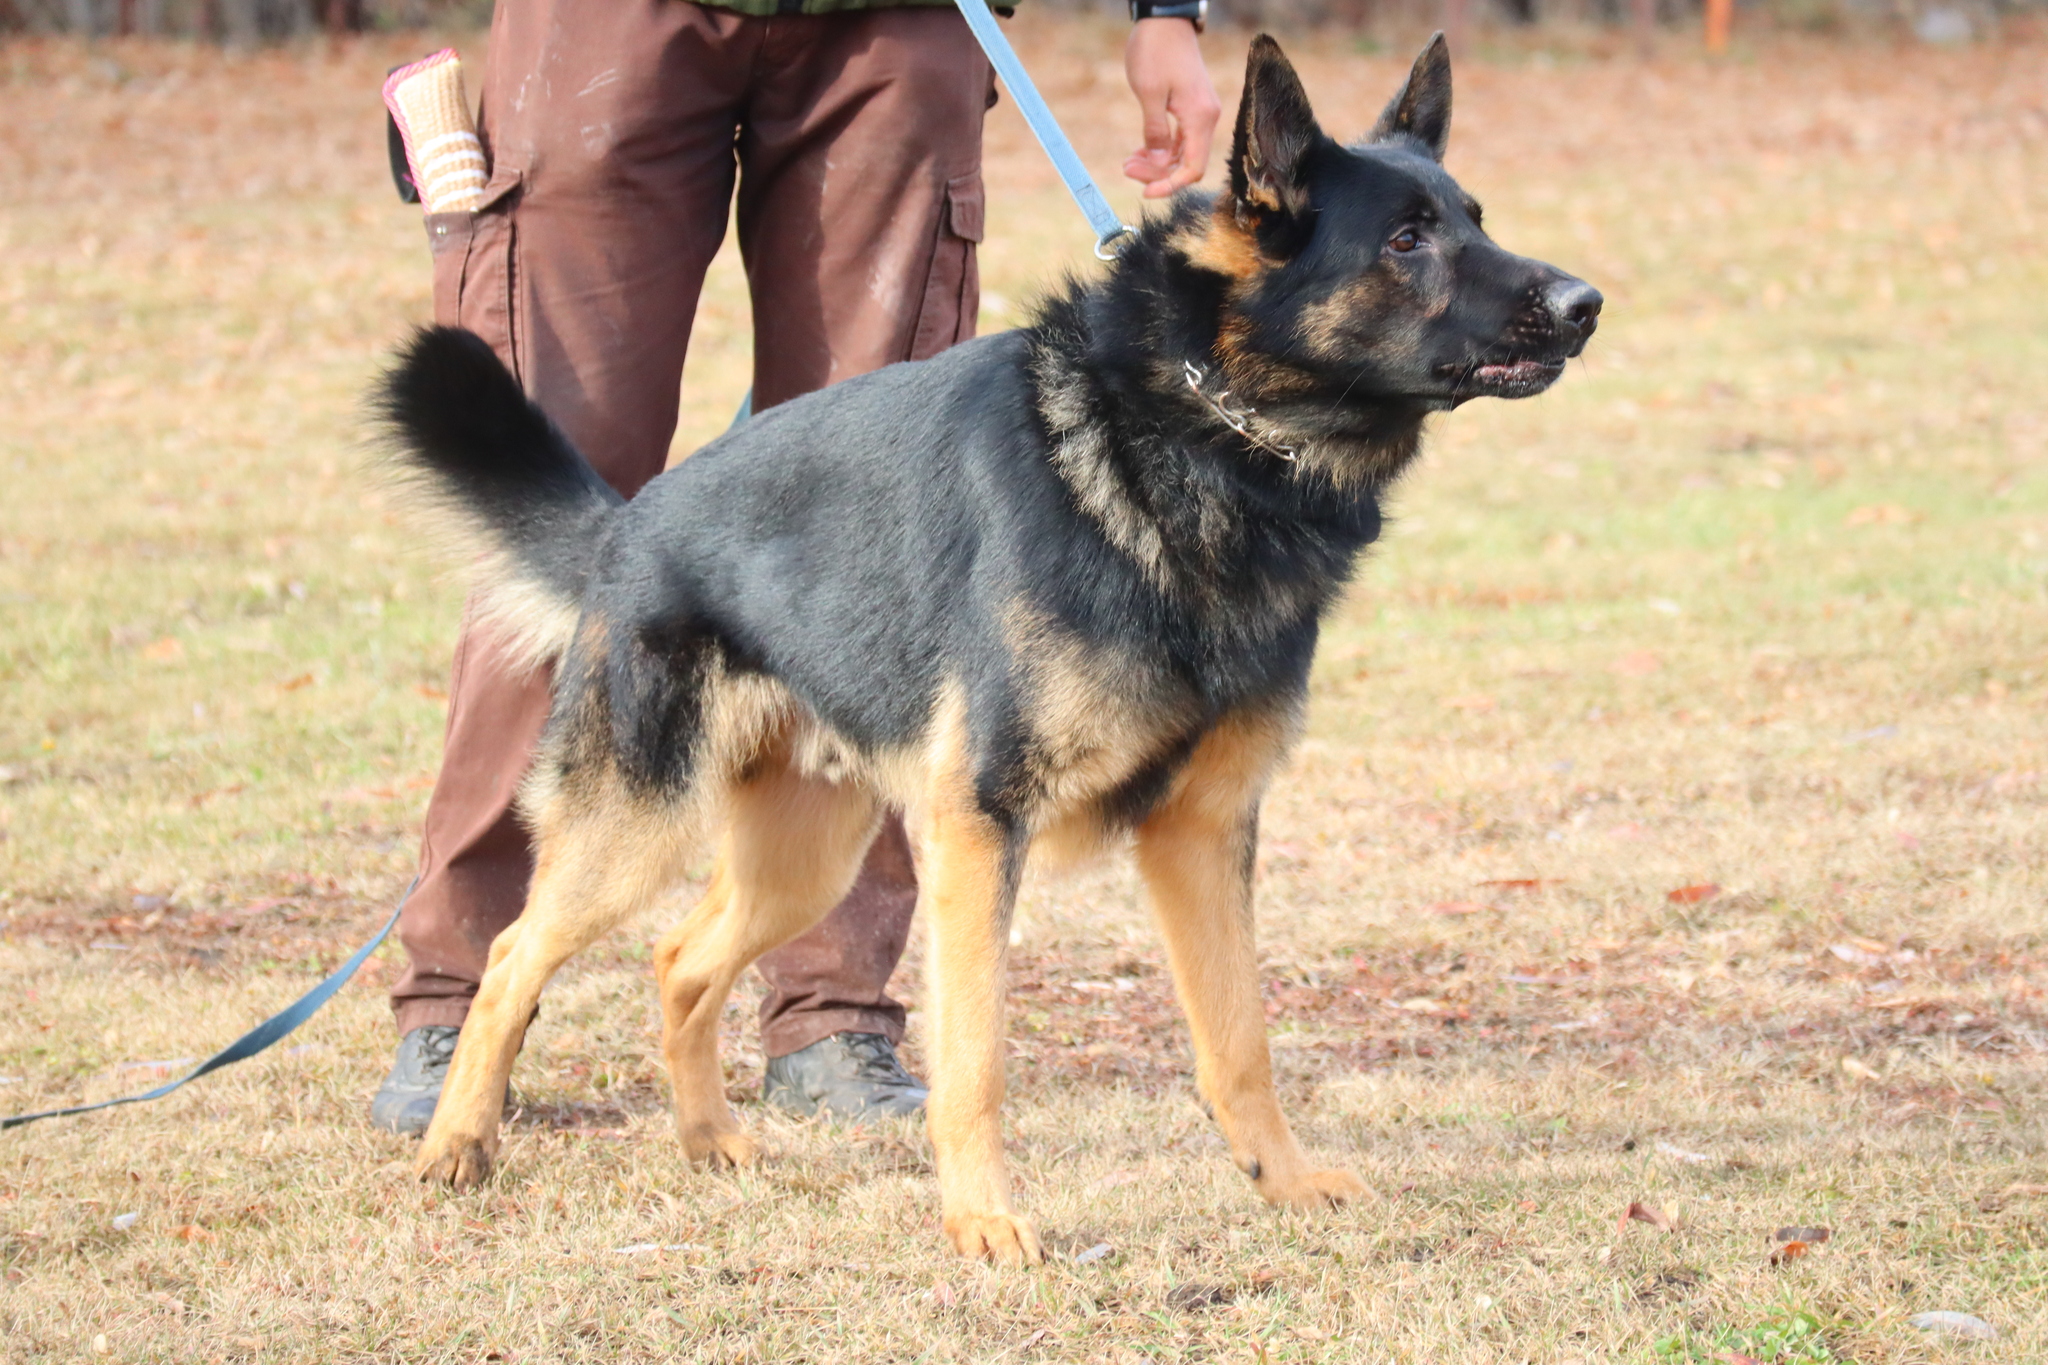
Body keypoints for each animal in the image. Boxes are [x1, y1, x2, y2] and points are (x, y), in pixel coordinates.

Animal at [385, 34, 1597, 1268]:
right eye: (1405, 240)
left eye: (1473, 217)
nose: (1585, 302)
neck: (1201, 431)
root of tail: (628, 523)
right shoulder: (981, 827)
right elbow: (976, 1050)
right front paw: (981, 1218)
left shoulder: (1202, 832)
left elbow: (1239, 1037)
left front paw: (1283, 1180)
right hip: (635, 827)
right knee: (508, 957)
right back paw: (456, 1144)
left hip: (804, 863)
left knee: (681, 961)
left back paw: (708, 1141)